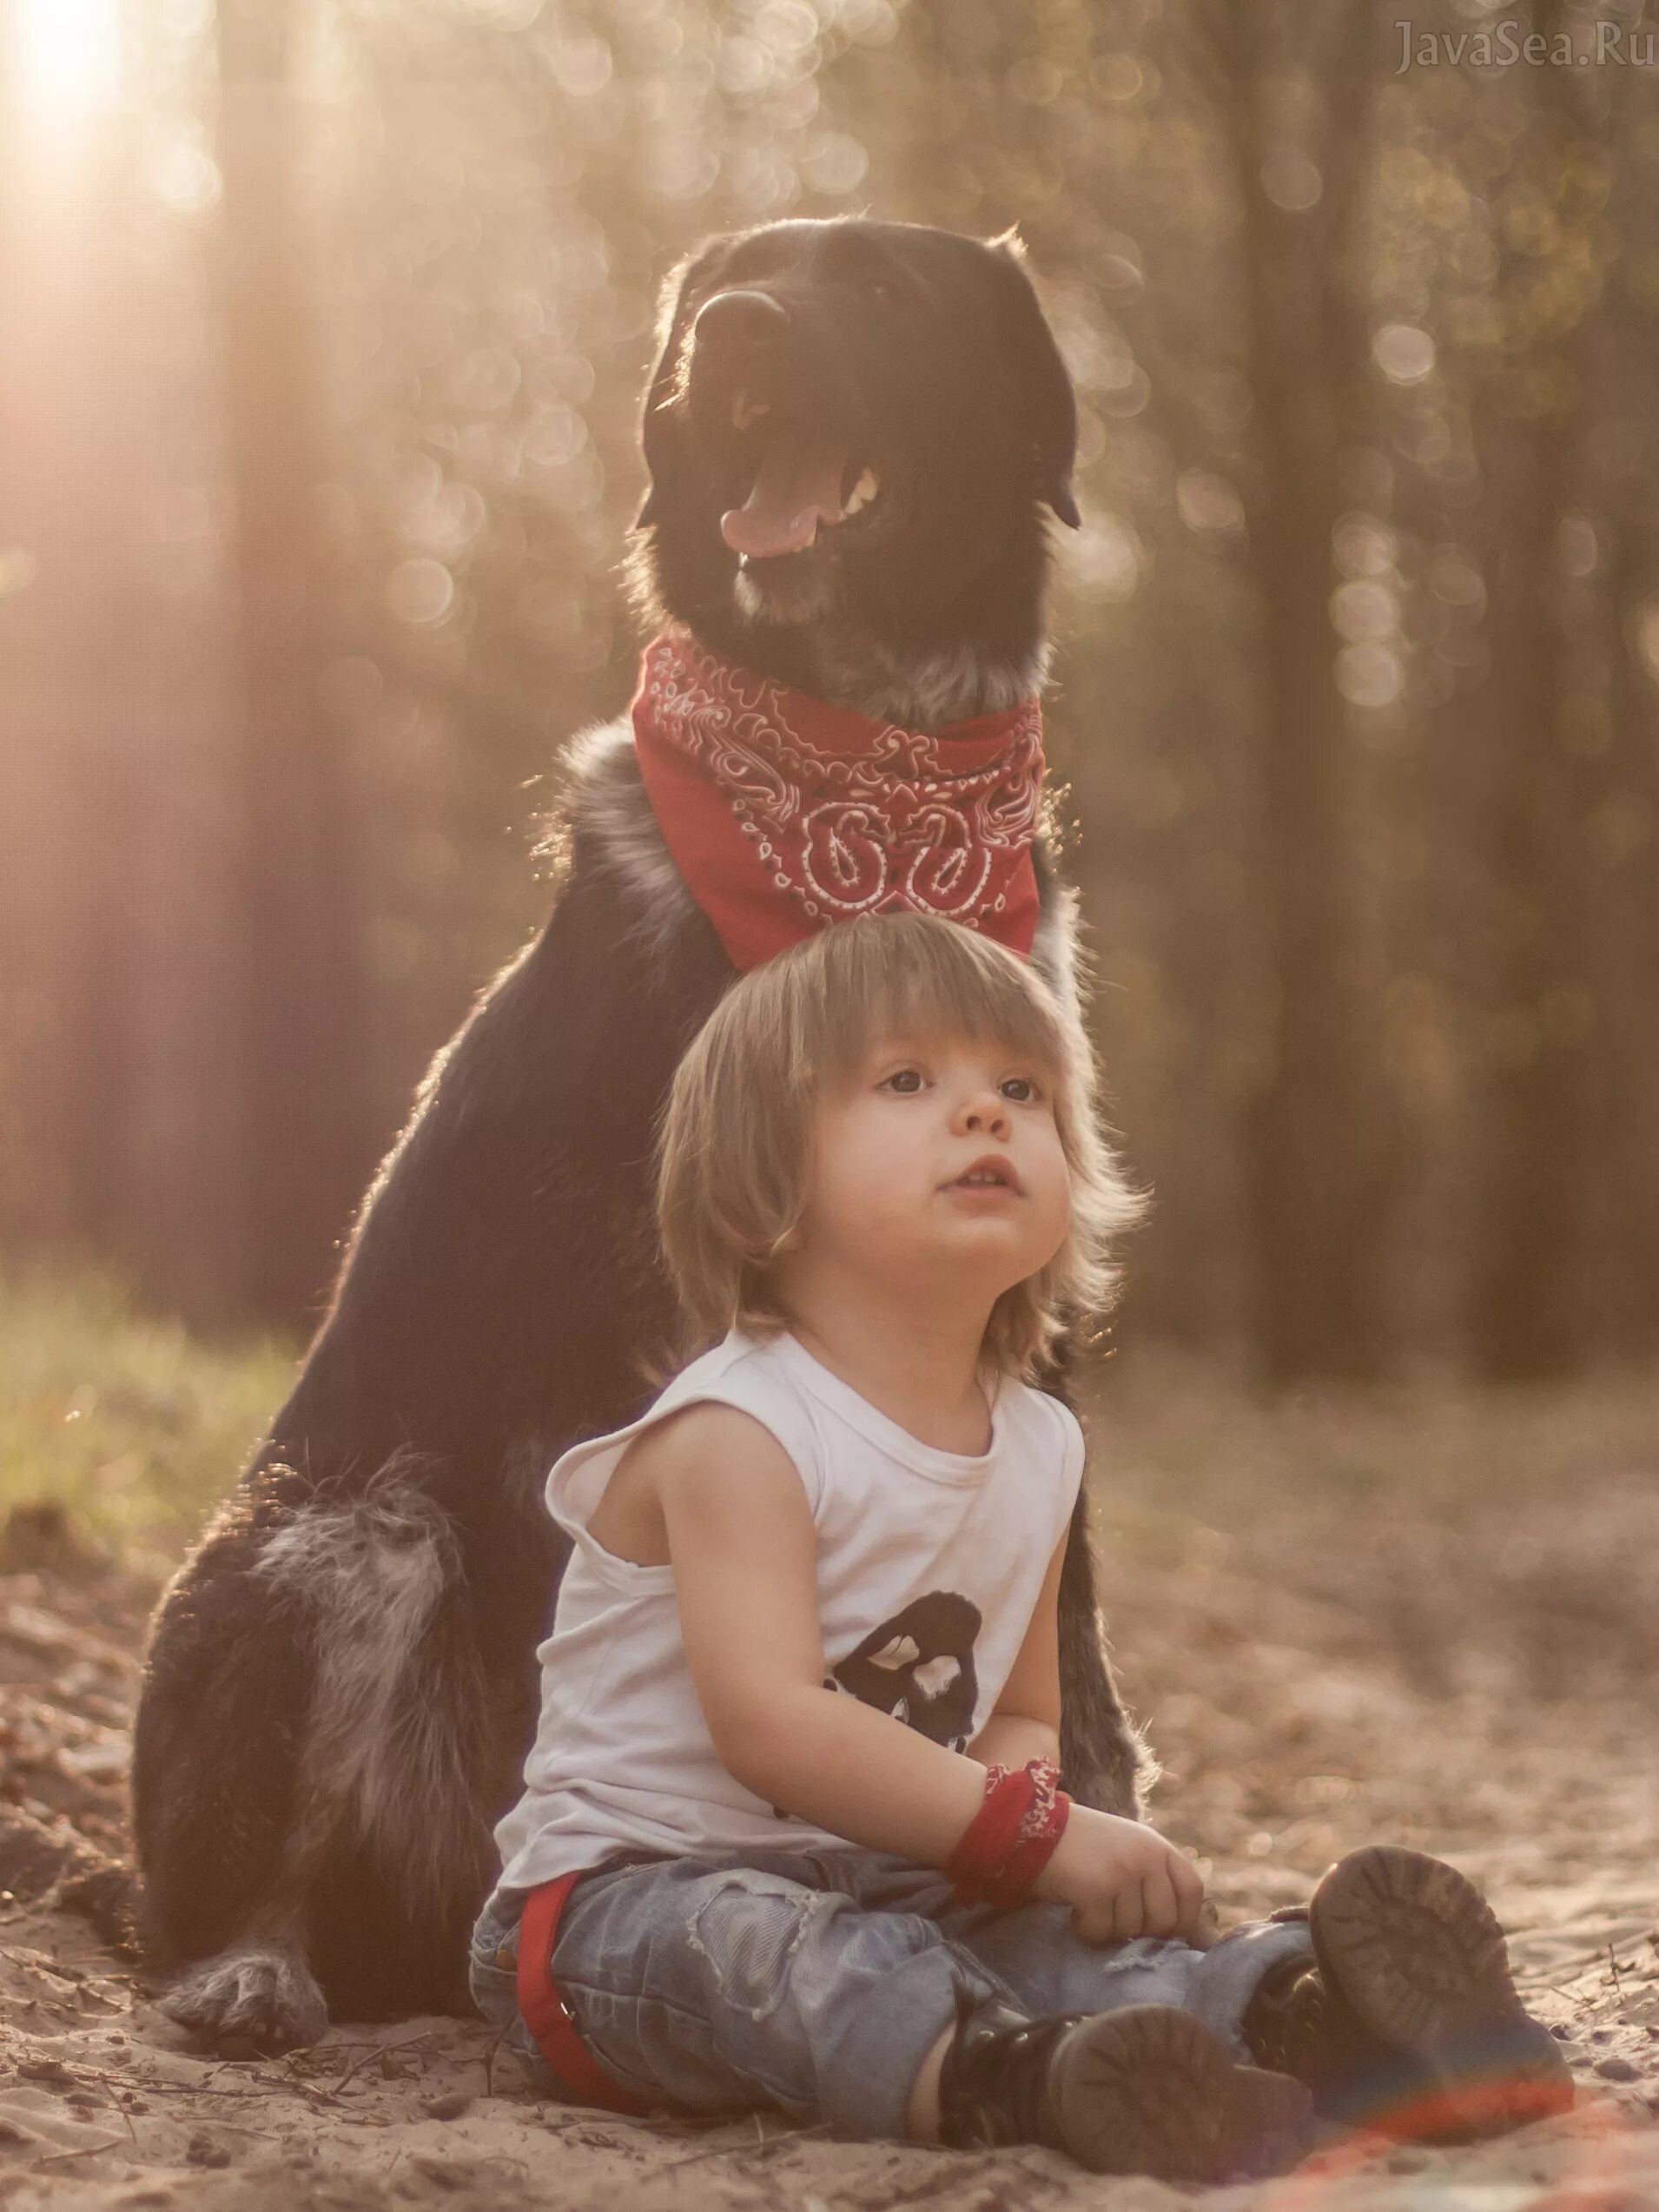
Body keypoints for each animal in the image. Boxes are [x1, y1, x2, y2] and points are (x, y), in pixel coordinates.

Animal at [133, 215, 1159, 2044]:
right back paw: (255, 1963)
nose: (735, 332)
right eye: (728, 283)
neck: (867, 786)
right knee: (243, 1879)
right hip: (347, 1539)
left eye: (882, 286)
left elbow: (1074, 1612)